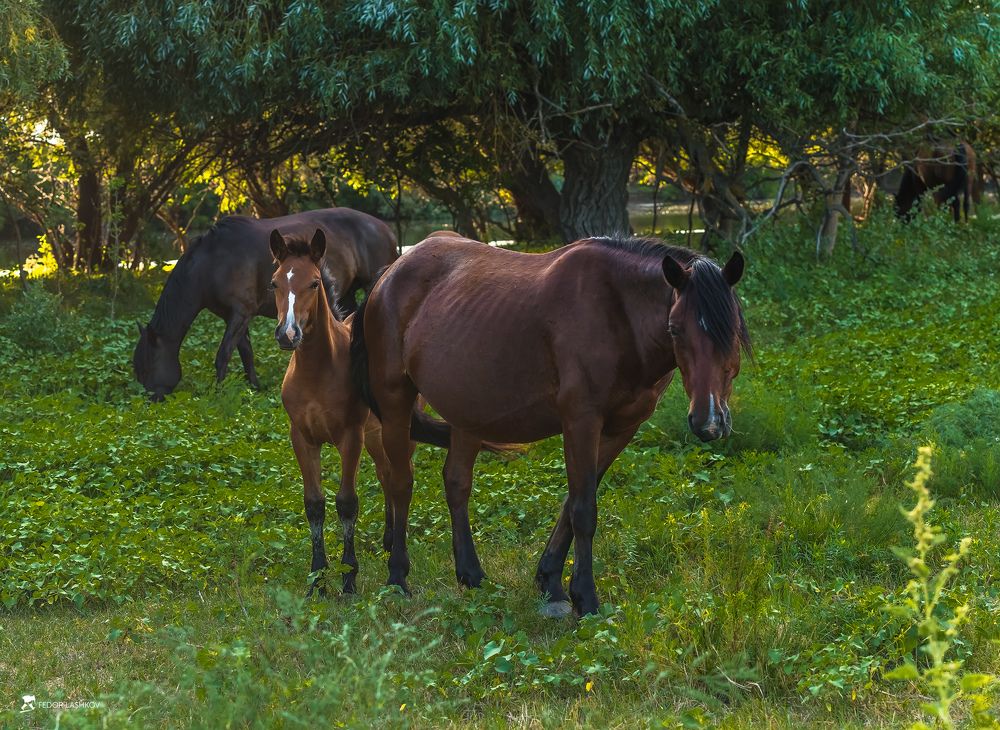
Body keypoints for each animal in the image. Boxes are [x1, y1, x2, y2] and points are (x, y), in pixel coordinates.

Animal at [133, 208, 397, 401]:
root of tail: (386, 229)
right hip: (347, 295)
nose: (151, 399)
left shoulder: (240, 313)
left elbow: (224, 353)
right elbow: (246, 352)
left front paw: (218, 392)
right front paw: (254, 386)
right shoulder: (235, 316)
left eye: (147, 366)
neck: (213, 262)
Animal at [350, 233, 751, 616]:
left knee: (456, 483)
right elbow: (583, 510)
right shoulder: (581, 421)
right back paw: (397, 578)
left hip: (466, 412)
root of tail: (389, 273)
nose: (708, 421)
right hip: (396, 403)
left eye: (731, 329)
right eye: (675, 329)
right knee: (401, 484)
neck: (617, 314)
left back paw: (472, 575)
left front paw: (550, 581)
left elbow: (572, 504)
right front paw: (585, 598)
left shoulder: (621, 429)